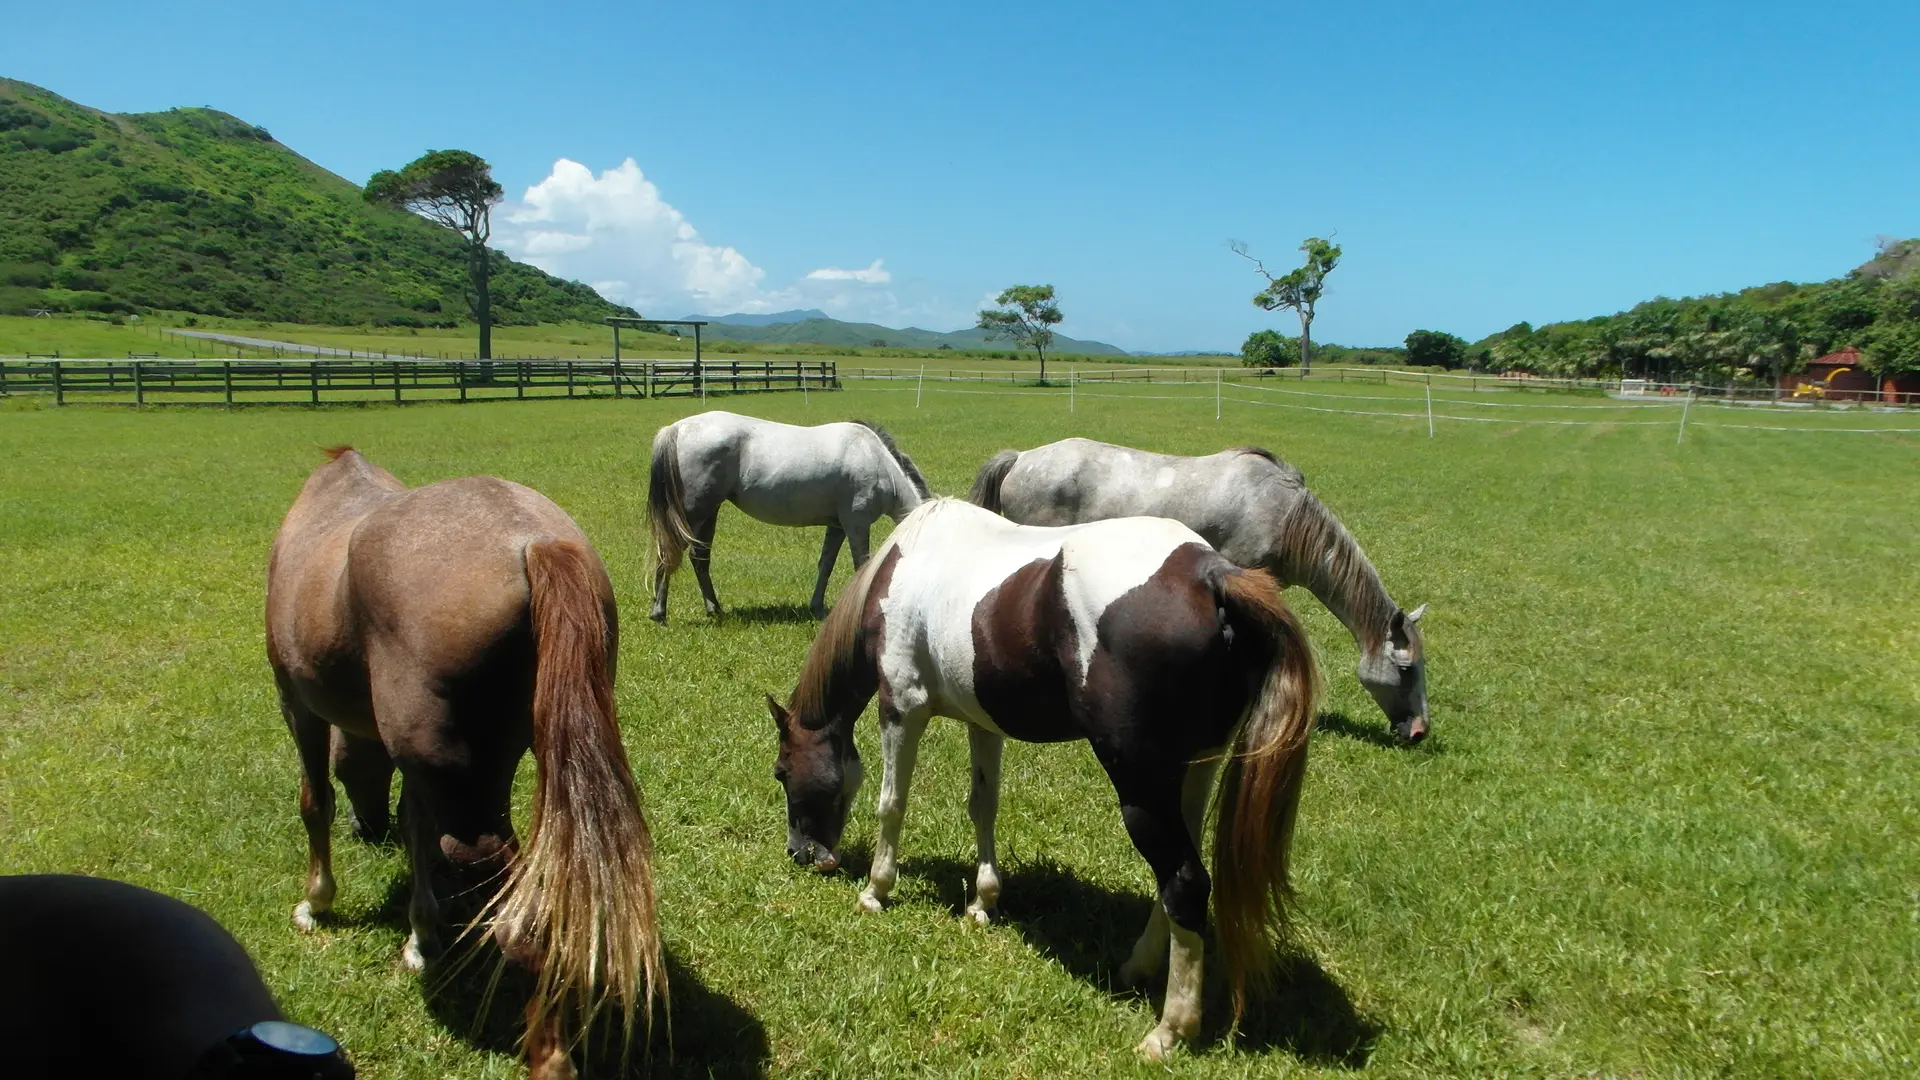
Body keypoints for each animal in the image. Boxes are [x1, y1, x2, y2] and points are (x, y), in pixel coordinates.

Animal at [266, 445, 664, 1076]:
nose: (367, 827)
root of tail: (533, 543)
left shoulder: (295, 701)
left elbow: (315, 802)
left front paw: (317, 900)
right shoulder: (420, 768)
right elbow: (414, 826)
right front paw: (420, 935)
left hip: (467, 798)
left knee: (519, 913)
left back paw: (550, 1053)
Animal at [645, 405, 929, 622]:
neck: (875, 459)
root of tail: (677, 428)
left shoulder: (837, 526)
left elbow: (825, 565)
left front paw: (817, 608)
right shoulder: (856, 523)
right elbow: (862, 565)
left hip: (709, 512)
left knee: (699, 558)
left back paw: (714, 609)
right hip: (694, 512)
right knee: (670, 553)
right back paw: (659, 613)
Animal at [764, 499, 1320, 1053]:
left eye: (781, 771)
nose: (801, 854)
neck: (906, 562)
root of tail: (1212, 576)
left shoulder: (902, 706)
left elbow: (891, 804)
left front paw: (876, 892)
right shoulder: (981, 723)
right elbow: (983, 806)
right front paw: (983, 902)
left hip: (1140, 785)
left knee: (1184, 881)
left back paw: (1169, 1031)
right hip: (1192, 772)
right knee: (1180, 877)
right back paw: (1138, 968)